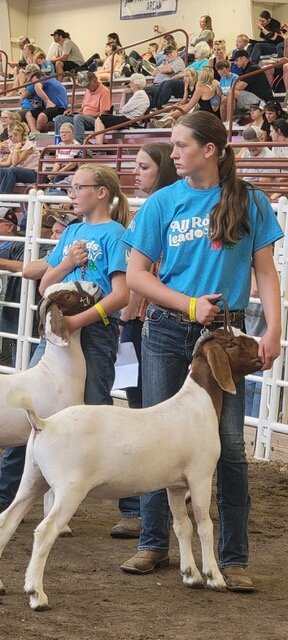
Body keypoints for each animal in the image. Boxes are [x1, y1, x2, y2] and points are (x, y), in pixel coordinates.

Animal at [0, 330, 262, 608]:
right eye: (232, 344)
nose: (260, 349)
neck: (197, 405)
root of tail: (44, 424)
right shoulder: (200, 476)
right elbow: (204, 526)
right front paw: (214, 577)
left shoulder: (175, 485)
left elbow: (182, 526)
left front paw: (191, 575)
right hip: (69, 489)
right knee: (45, 531)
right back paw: (36, 594)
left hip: (34, 479)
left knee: (7, 521)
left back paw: (2, 585)